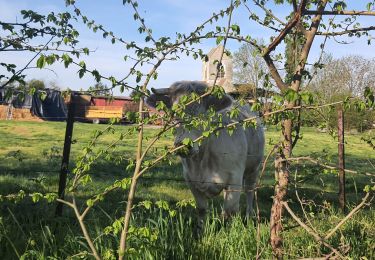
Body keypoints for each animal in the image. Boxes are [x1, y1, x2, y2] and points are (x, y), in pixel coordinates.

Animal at [145, 80, 266, 230]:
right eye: (174, 114)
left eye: (203, 115)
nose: (183, 145)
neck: (202, 160)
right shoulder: (190, 179)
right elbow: (202, 209)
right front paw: (201, 230)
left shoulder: (235, 177)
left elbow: (231, 211)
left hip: (254, 169)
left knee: (250, 191)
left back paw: (249, 217)